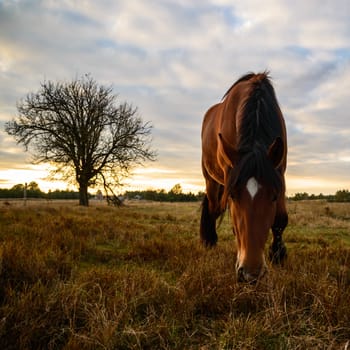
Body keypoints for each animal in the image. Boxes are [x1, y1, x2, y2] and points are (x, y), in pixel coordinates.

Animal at [201, 72, 288, 284]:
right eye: (233, 196)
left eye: (274, 196)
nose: (251, 274)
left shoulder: (280, 172)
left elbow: (280, 220)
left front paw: (278, 254)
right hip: (211, 179)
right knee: (212, 207)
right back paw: (209, 242)